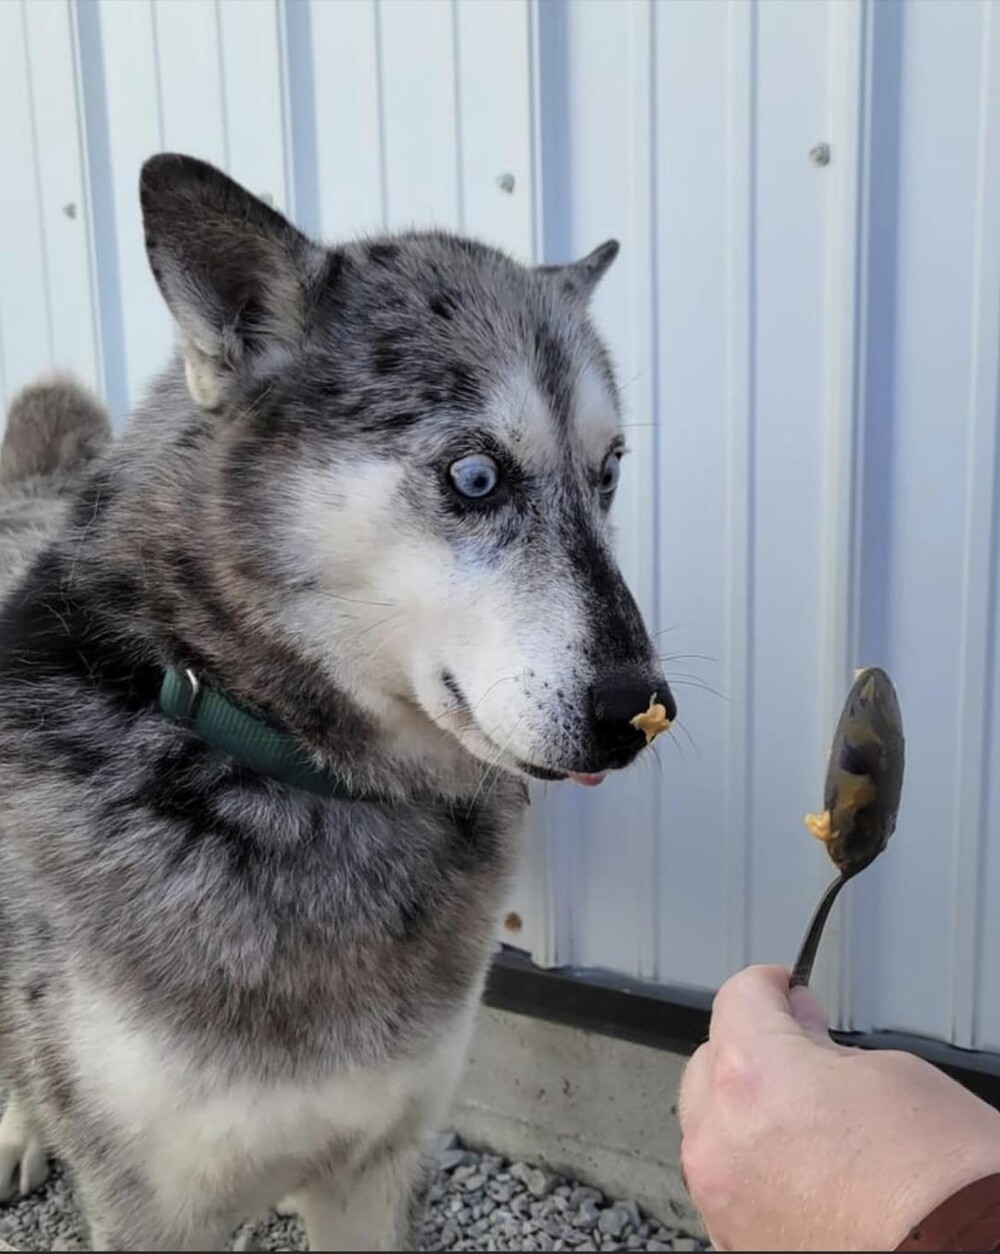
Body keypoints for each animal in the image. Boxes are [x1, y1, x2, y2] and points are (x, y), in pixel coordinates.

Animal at [0, 151, 677, 1248]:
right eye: (476, 477)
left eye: (609, 472)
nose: (638, 711)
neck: (274, 767)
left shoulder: (382, 1157)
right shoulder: (150, 1207)